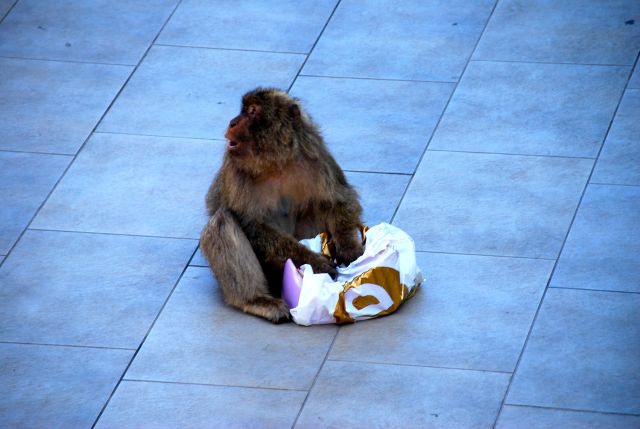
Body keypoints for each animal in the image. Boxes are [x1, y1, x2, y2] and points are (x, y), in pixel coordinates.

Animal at [200, 88, 365, 323]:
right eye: (243, 110)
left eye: (252, 111)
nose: (232, 122)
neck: (275, 162)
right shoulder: (235, 168)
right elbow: (252, 225)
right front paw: (313, 261)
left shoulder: (315, 152)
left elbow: (337, 200)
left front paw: (348, 246)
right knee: (222, 221)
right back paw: (256, 300)